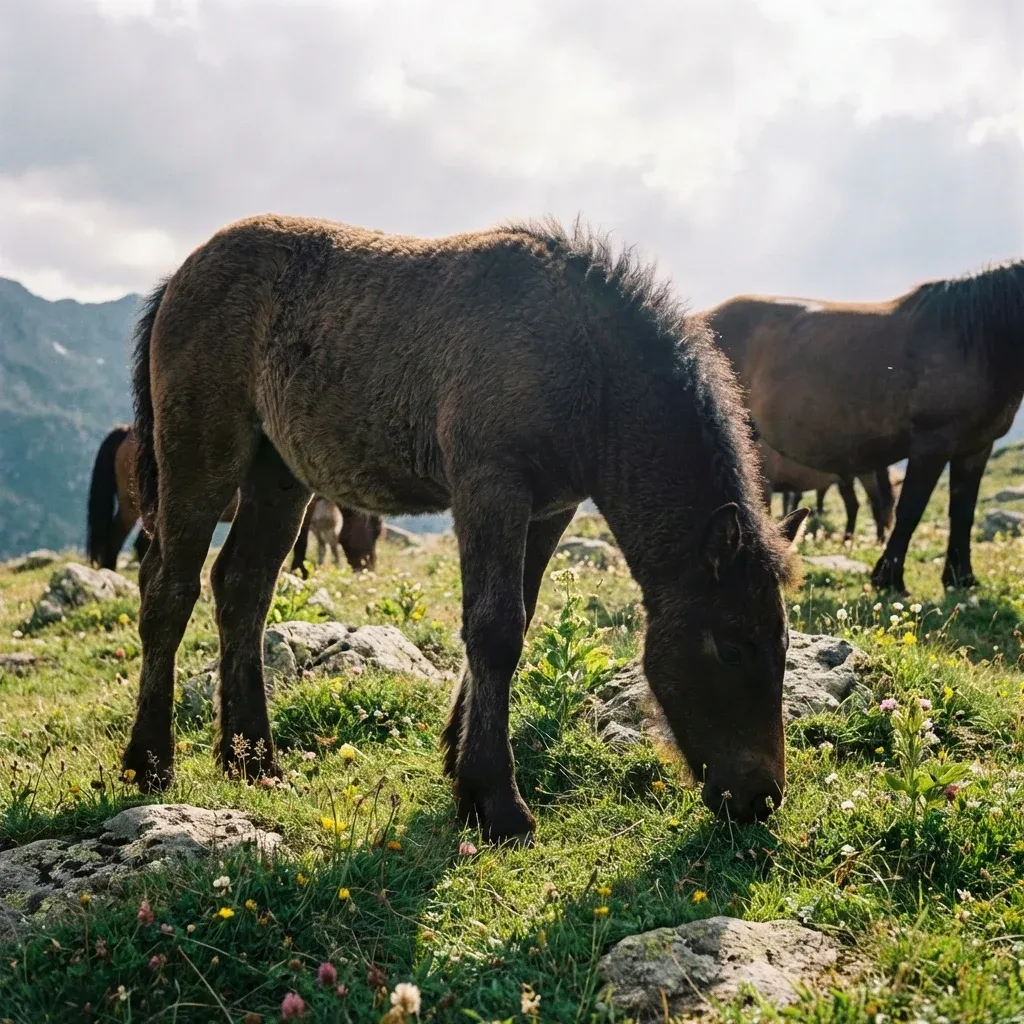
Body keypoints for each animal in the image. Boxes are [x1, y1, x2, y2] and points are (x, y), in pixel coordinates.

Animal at [86, 425, 381, 574]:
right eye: (373, 534)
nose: (369, 568)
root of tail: (126, 431)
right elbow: (302, 542)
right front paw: (301, 570)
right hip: (133, 505)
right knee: (116, 537)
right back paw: (110, 572)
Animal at [121, 212, 809, 843]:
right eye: (730, 647)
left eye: (783, 646)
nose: (760, 798)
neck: (582, 364)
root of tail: (177, 277)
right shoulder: (489, 488)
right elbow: (495, 630)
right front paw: (496, 800)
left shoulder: (549, 509)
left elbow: (515, 621)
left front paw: (459, 764)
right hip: (202, 456)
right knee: (169, 588)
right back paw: (149, 763)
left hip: (278, 475)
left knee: (243, 587)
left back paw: (252, 762)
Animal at [760, 444, 895, 541]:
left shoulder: (767, 482)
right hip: (845, 478)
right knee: (853, 505)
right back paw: (846, 542)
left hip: (865, 474)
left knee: (875, 503)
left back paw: (879, 540)